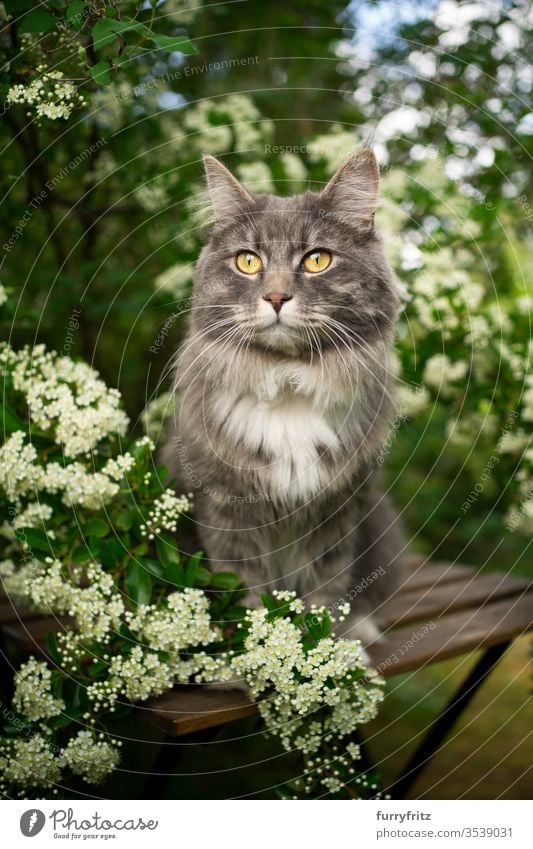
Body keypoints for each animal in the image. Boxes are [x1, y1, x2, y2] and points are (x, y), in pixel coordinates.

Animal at [162, 149, 404, 656]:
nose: (275, 296)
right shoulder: (227, 511)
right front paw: (257, 655)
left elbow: (326, 592)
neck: (289, 382)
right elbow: (247, 593)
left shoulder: (339, 512)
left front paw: (325, 653)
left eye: (317, 260)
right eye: (247, 261)